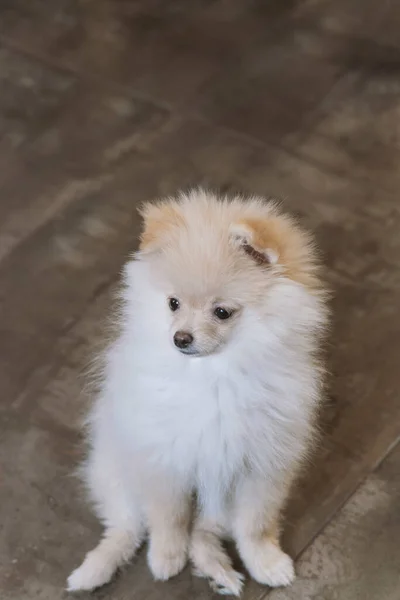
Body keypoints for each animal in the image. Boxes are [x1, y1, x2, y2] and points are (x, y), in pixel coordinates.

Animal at [66, 188, 328, 596]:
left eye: (222, 312)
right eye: (173, 303)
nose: (181, 338)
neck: (215, 376)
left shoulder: (261, 467)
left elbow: (255, 526)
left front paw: (266, 562)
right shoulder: (164, 459)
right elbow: (168, 517)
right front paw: (165, 557)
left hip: (217, 501)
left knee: (203, 534)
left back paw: (217, 570)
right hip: (114, 470)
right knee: (126, 527)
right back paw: (94, 569)